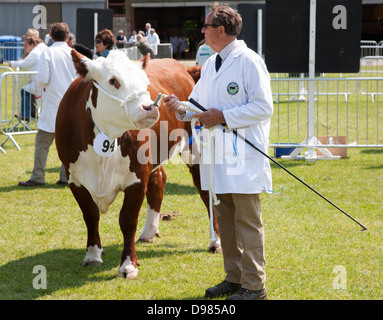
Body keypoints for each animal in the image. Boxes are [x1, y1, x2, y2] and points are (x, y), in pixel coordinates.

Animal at [55, 50, 220, 280]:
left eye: (145, 82)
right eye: (113, 81)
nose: (150, 107)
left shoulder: (137, 178)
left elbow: (127, 220)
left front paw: (128, 265)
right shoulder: (75, 179)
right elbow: (90, 215)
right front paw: (93, 255)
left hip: (195, 146)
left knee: (206, 191)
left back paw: (215, 241)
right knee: (159, 181)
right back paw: (149, 231)